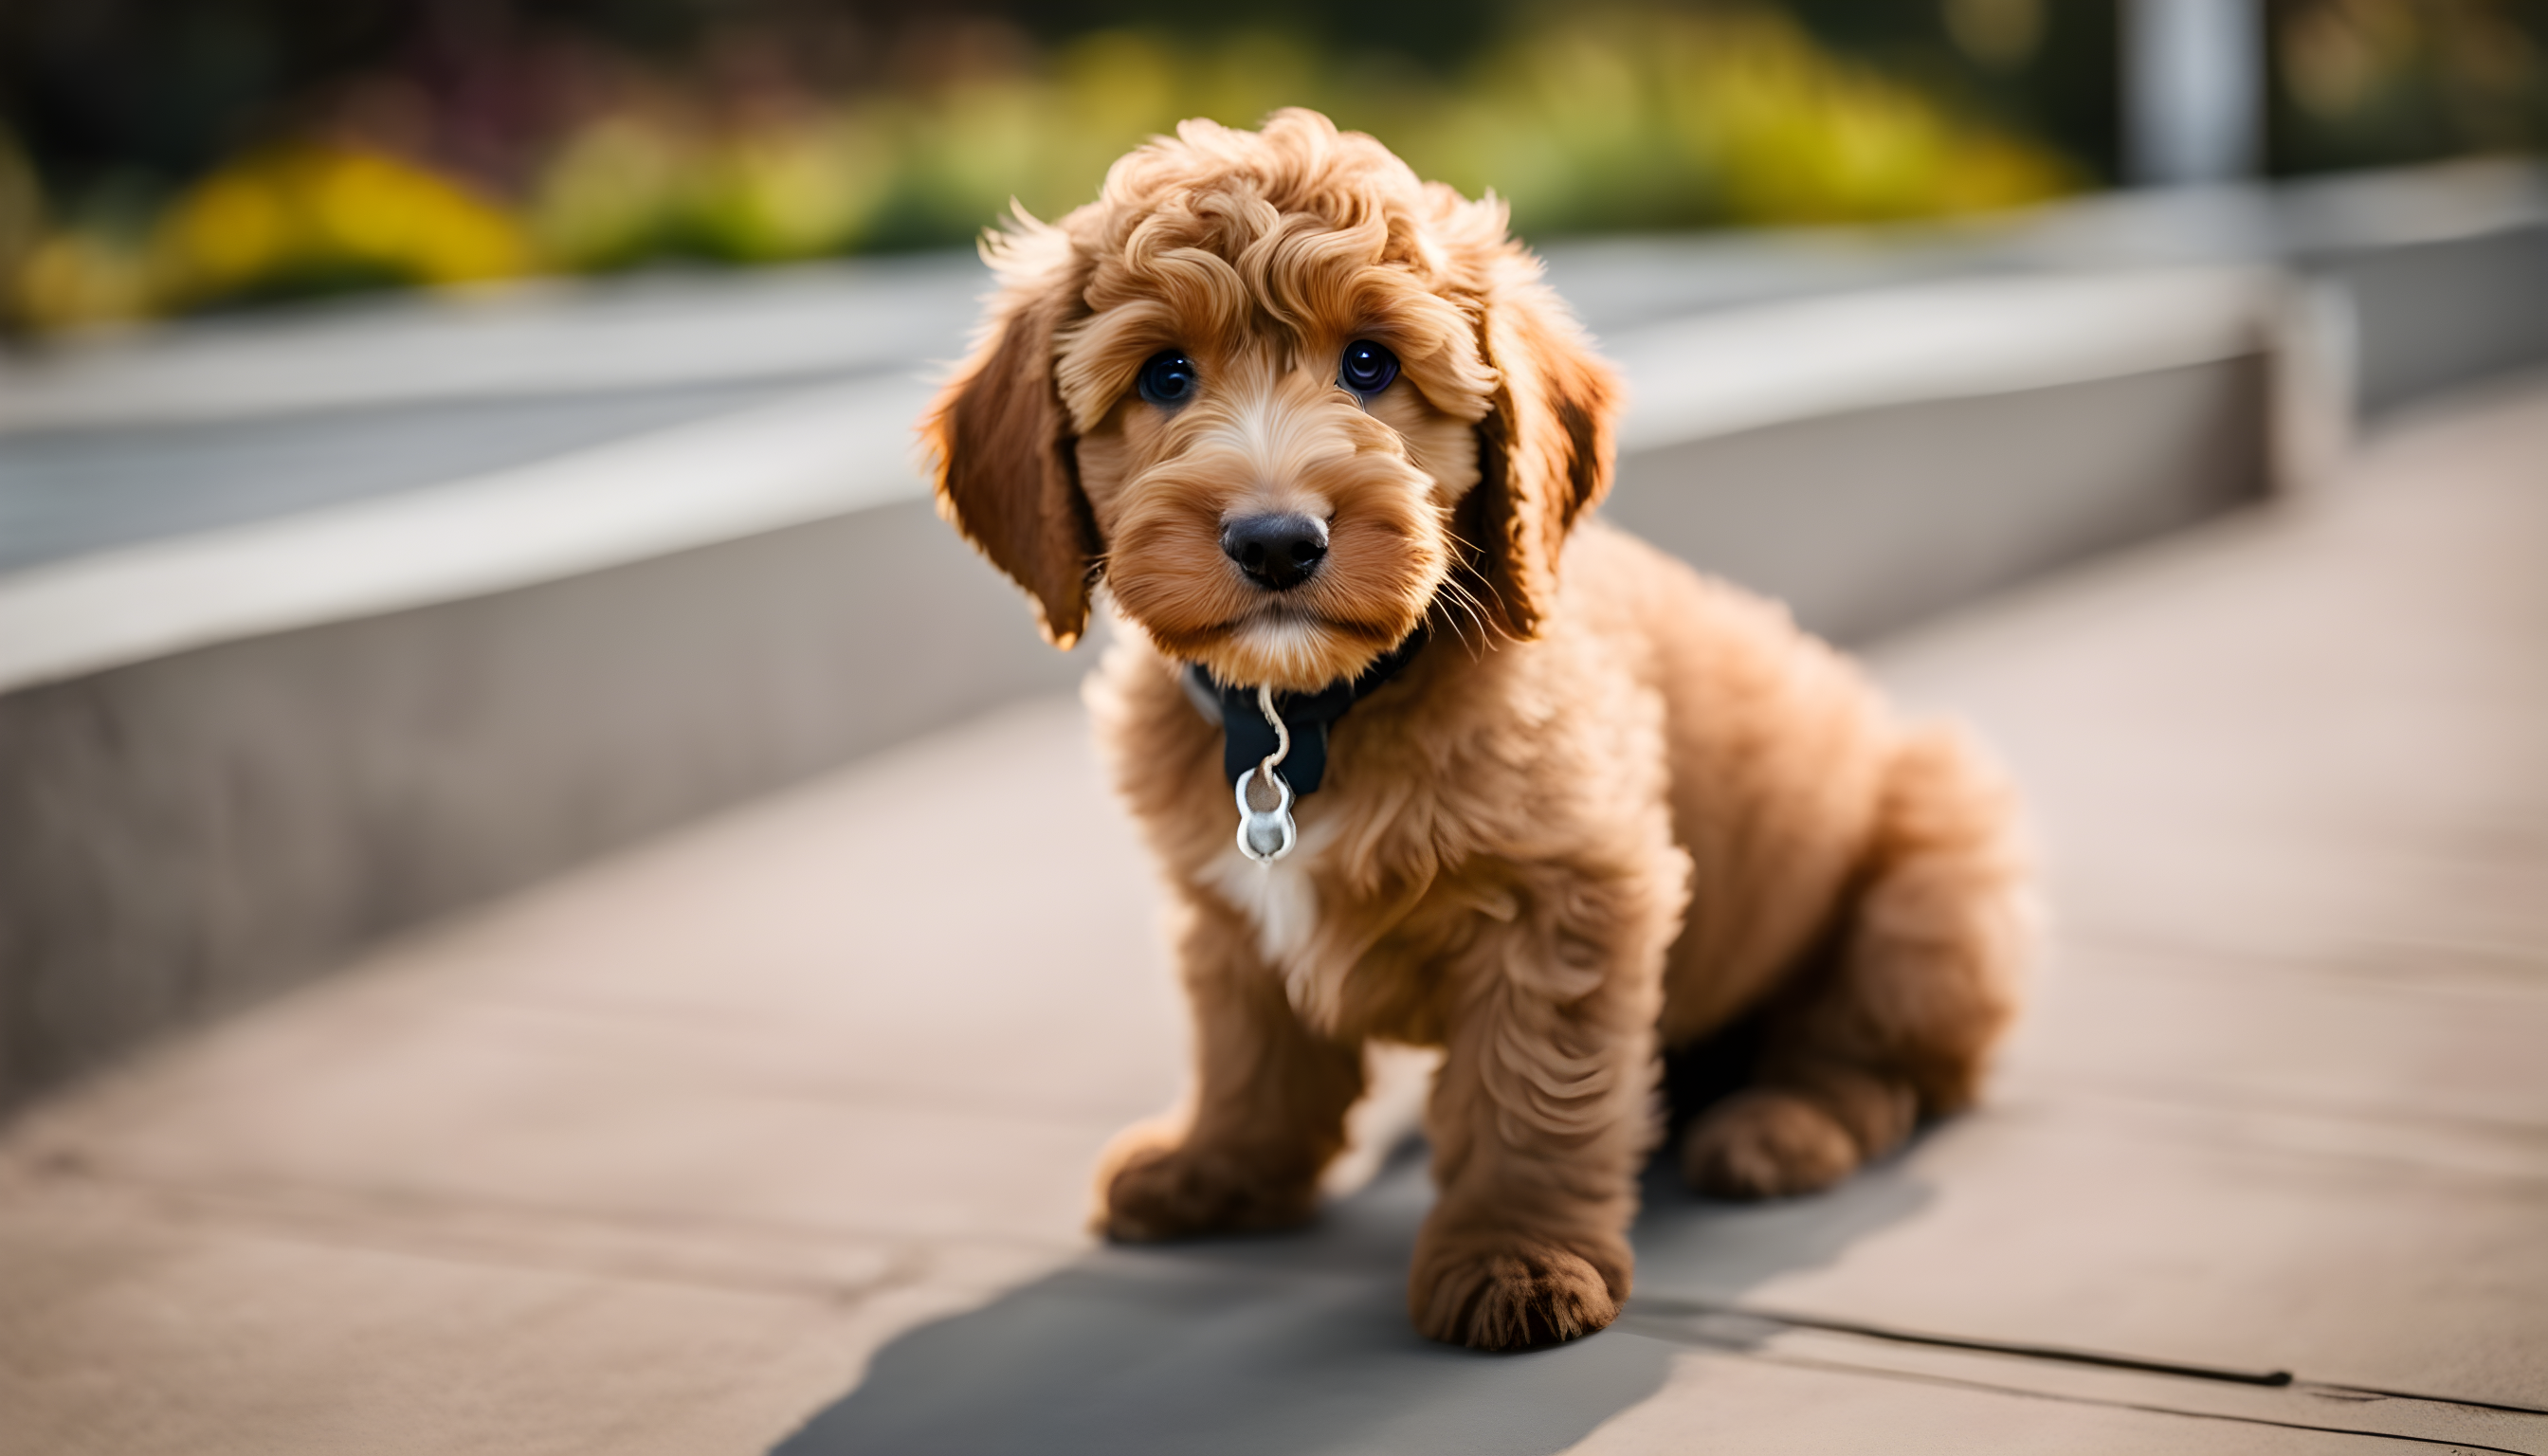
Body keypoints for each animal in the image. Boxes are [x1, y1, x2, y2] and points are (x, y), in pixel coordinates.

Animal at [927, 108, 2017, 1346]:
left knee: (1877, 1065)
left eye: (1371, 362)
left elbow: (1530, 1092)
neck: (1302, 716)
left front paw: (1516, 1258)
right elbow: (1250, 1048)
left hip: (1932, 880)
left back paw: (1780, 1131)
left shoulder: (1568, 897)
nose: (1275, 543)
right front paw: (1223, 1168)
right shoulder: (1226, 913)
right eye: (1165, 374)